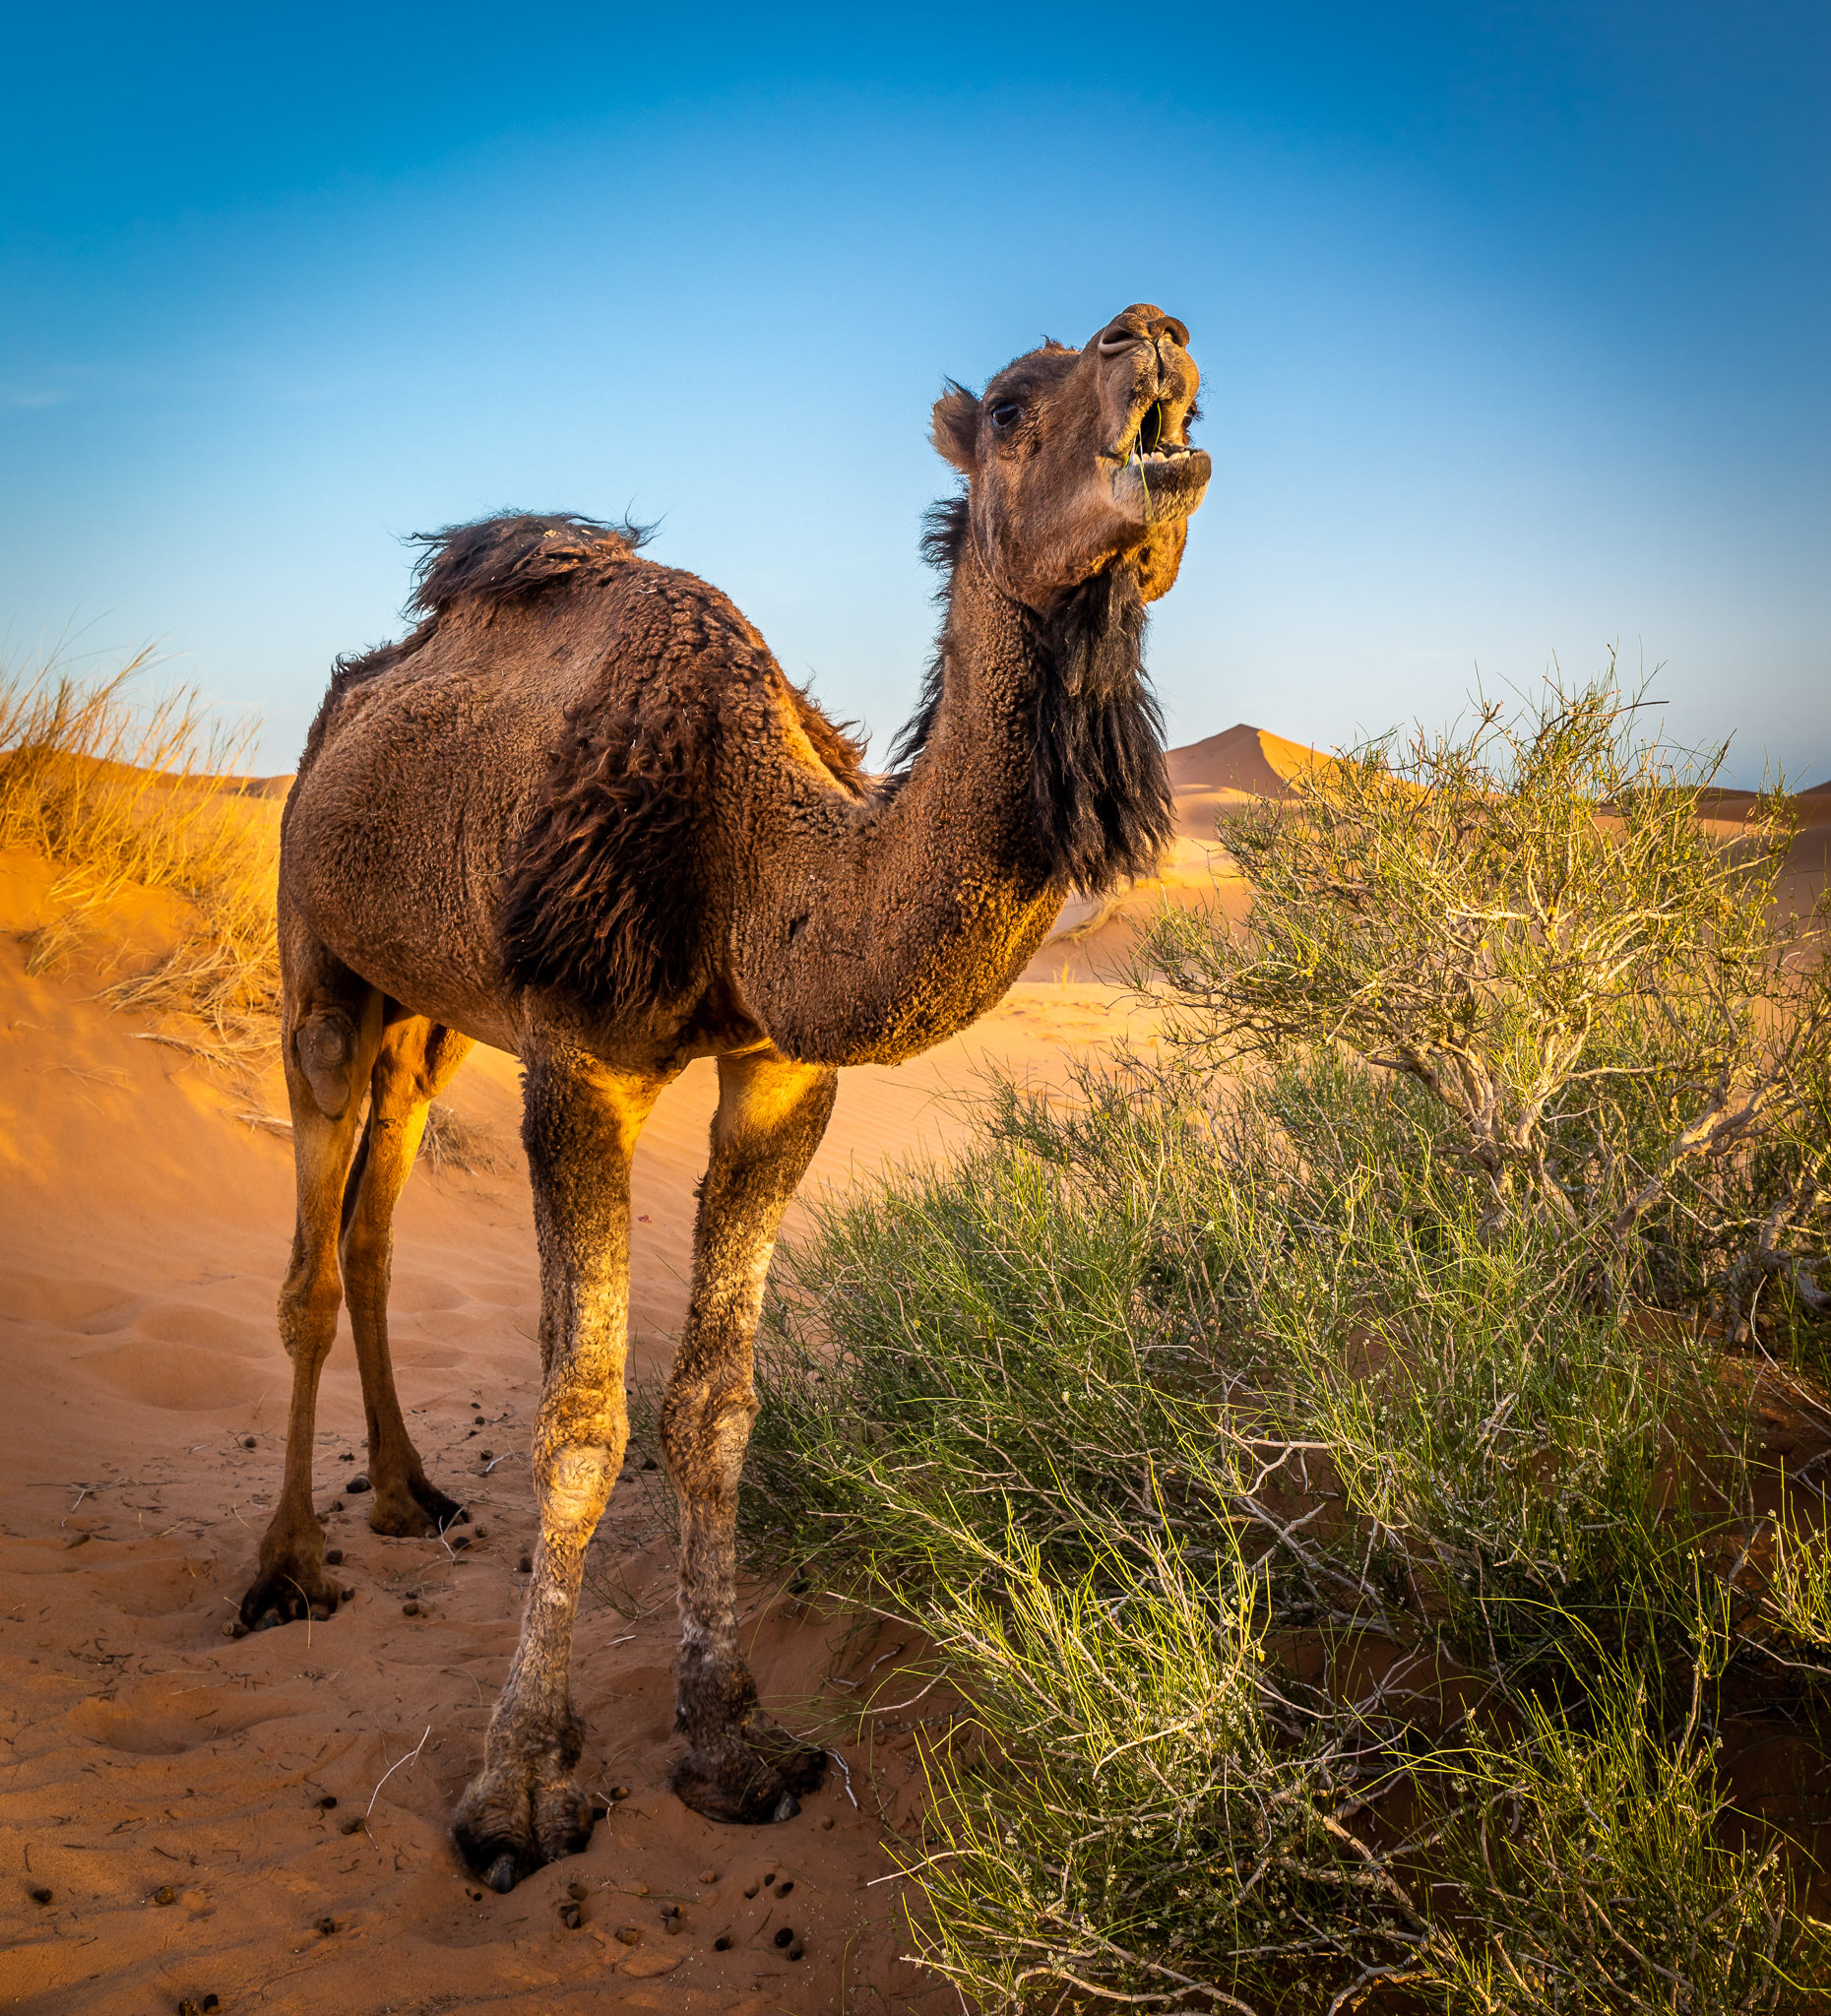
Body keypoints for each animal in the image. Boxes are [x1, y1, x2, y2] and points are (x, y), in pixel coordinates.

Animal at [239, 298, 1218, 1886]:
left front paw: (729, 1738)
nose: (1158, 334)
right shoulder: (583, 1062)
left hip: (432, 1012)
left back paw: (403, 1497)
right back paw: (286, 1570)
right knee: (311, 1256)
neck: (754, 854)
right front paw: (519, 1788)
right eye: (1015, 403)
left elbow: (713, 1408)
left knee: (375, 1220)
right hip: (316, 950)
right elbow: (583, 1421)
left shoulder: (779, 1074)